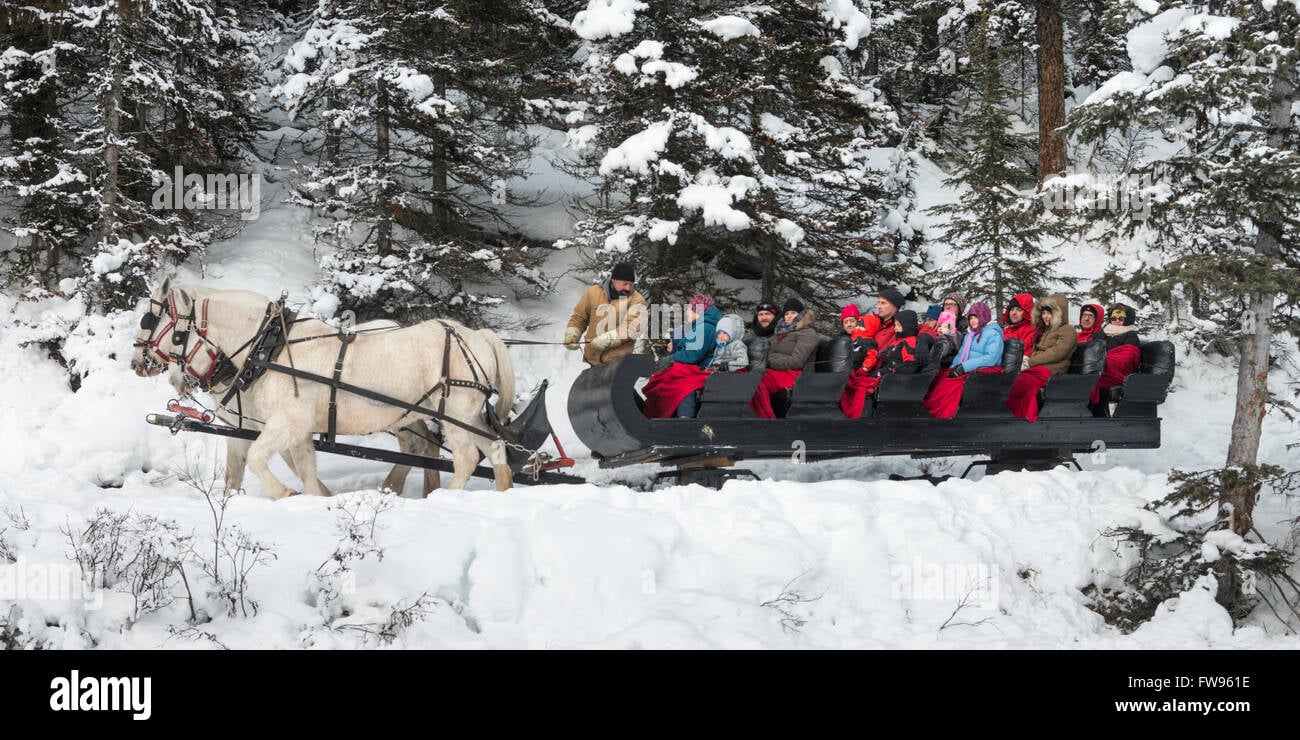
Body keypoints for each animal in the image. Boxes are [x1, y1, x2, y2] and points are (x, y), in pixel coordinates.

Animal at [129, 279, 514, 499]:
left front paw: (284, 494)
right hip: (465, 415)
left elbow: (258, 458)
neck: (267, 350)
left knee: (465, 457)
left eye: (151, 320)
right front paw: (315, 501)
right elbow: (303, 469)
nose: (135, 362)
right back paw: (503, 491)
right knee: (494, 448)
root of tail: (478, 335)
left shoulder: (286, 422)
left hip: (452, 413)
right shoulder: (290, 430)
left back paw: (444, 498)